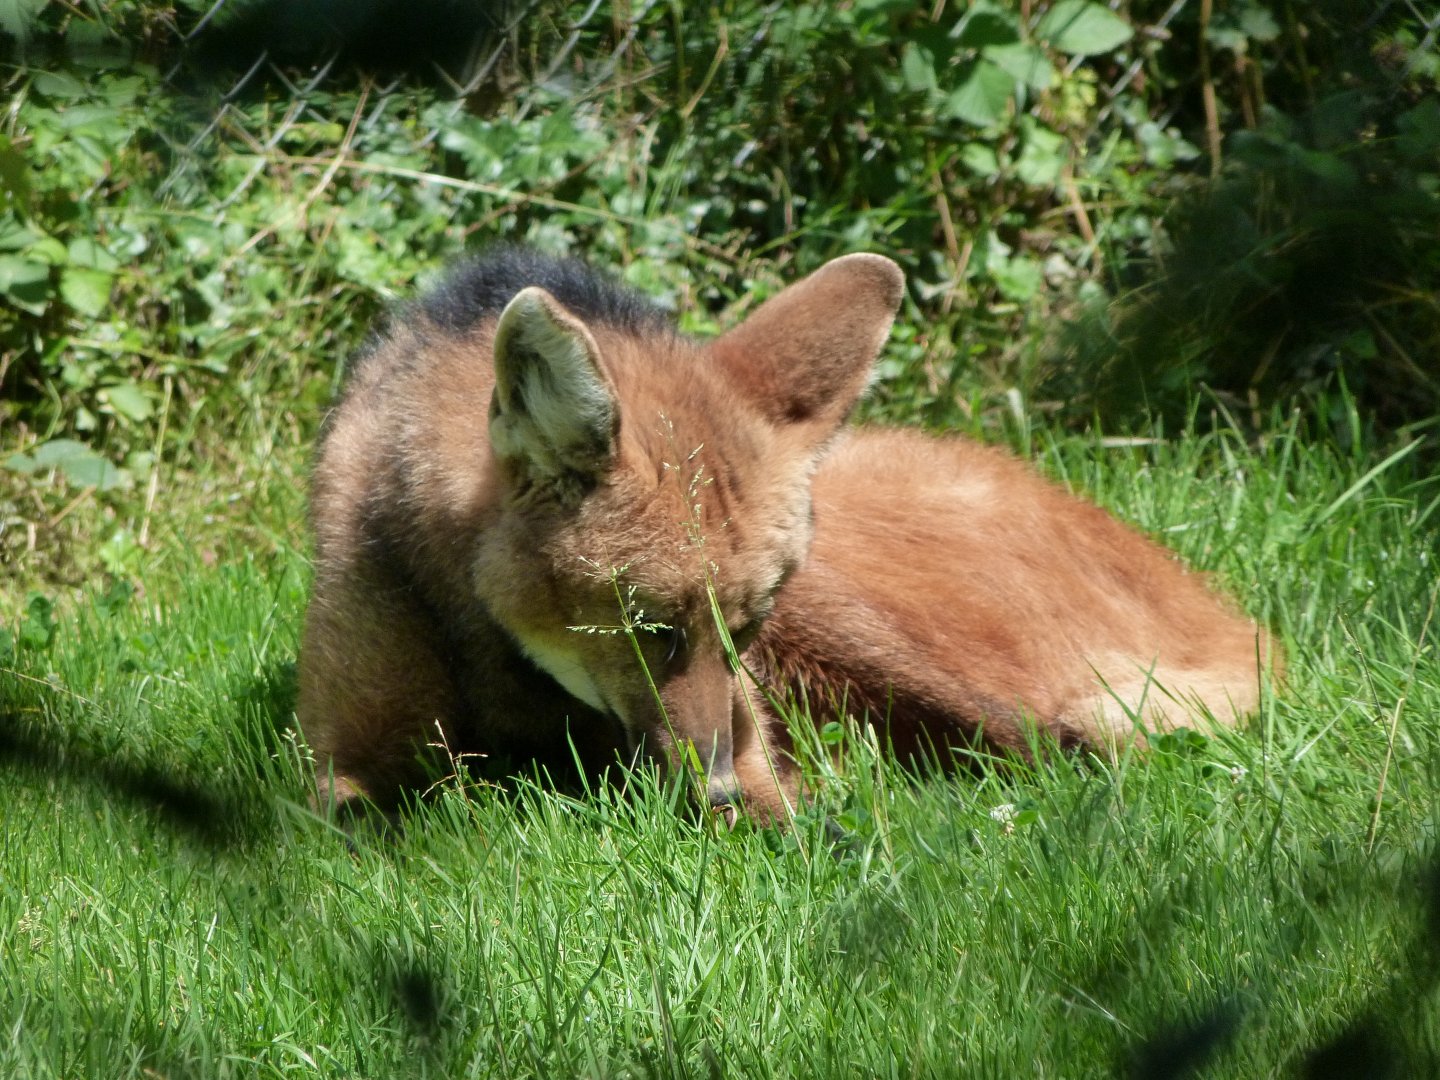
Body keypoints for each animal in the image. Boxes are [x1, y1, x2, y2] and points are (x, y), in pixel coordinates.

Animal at [298, 247, 1277, 823]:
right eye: (653, 630)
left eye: (745, 626)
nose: (720, 781)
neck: (500, 654)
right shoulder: (335, 764)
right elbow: (347, 809)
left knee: (1064, 743)